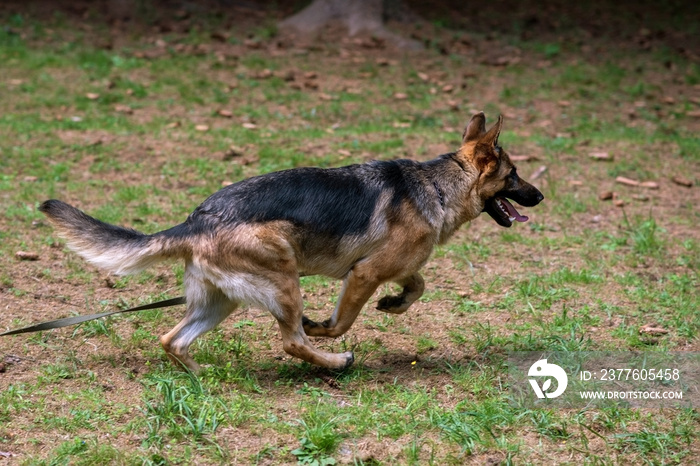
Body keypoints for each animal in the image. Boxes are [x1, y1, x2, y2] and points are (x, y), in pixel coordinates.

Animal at [39, 112, 540, 372]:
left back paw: (203, 377)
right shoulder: (365, 273)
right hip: (284, 281)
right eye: (514, 175)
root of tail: (197, 219)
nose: (540, 196)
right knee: (292, 341)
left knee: (171, 339)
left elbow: (417, 285)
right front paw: (328, 328)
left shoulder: (395, 268)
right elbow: (341, 320)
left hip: (220, 301)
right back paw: (334, 360)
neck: (437, 185)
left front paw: (393, 305)